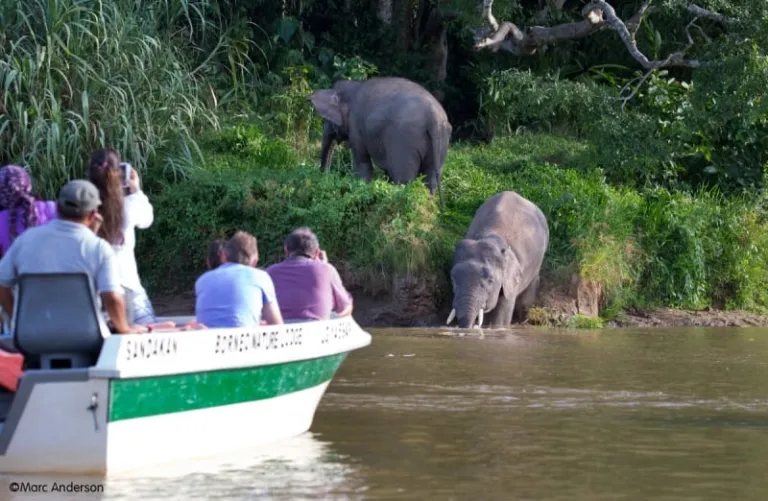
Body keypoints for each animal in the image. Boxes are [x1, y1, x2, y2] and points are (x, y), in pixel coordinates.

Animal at [309, 76, 452, 206]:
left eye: (327, 120)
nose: (324, 178)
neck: (354, 86)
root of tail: (433, 117)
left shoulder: (355, 126)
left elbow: (362, 162)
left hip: (404, 140)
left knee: (404, 178)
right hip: (441, 140)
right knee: (431, 177)